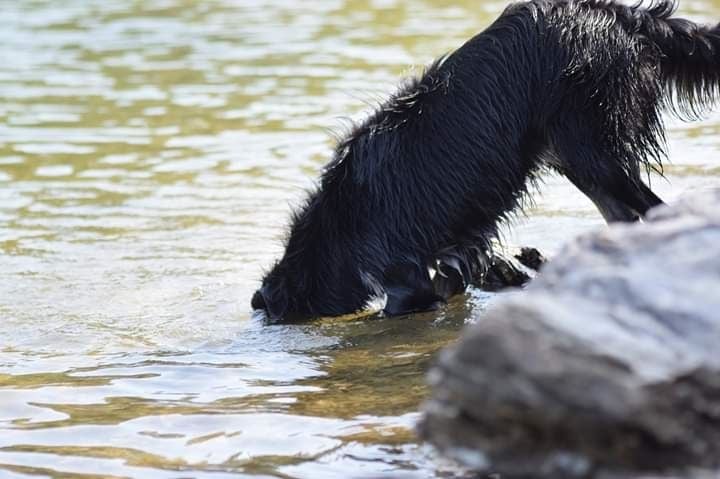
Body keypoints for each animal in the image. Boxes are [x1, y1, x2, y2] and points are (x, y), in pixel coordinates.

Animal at [250, 0, 716, 322]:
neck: (337, 225)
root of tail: (619, 15)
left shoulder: (402, 276)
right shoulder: (451, 250)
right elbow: (455, 277)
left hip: (588, 146)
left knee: (652, 207)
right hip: (571, 153)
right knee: (623, 215)